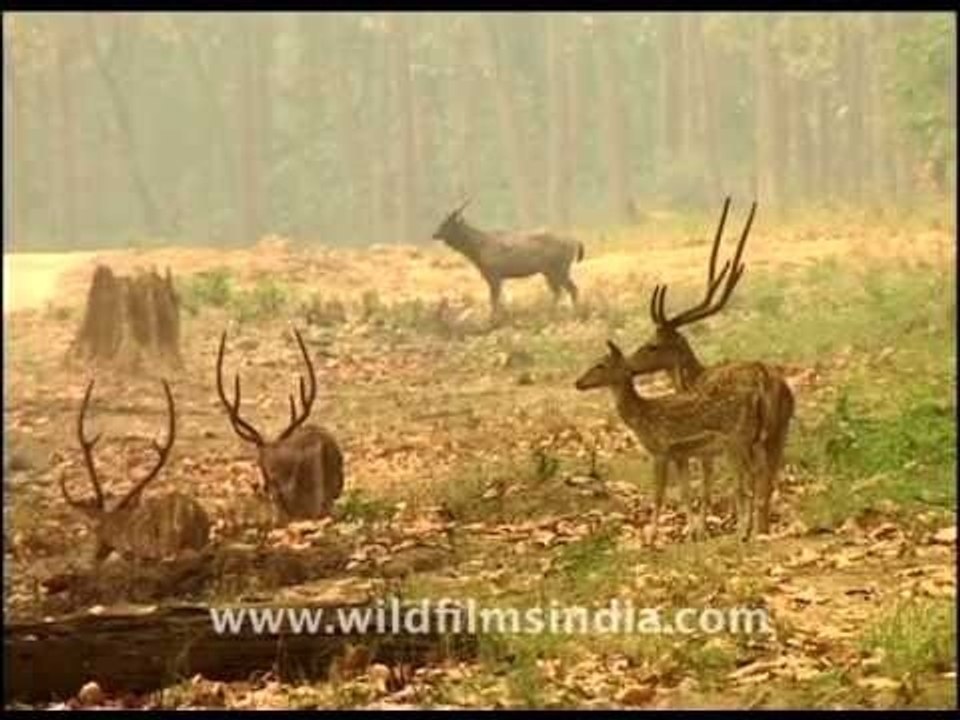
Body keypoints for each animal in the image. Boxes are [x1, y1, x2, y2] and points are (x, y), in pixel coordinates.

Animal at [432, 198, 585, 317]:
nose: (434, 234)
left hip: (559, 267)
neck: (477, 251)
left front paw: (493, 318)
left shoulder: (494, 273)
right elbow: (497, 299)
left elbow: (494, 299)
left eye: (446, 224)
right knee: (561, 291)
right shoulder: (495, 275)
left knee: (570, 289)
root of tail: (575, 242)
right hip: (550, 271)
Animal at [576, 340, 769, 542]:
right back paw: (750, 530)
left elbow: (658, 495)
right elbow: (686, 493)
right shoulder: (679, 454)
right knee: (755, 474)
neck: (642, 417)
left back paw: (742, 532)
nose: (578, 383)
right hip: (749, 440)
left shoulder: (660, 451)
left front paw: (651, 539)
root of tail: (756, 399)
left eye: (600, 365)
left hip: (735, 440)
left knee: (744, 482)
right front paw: (691, 535)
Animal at [627, 198, 795, 535]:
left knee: (750, 478)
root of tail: (767, 381)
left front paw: (700, 529)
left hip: (742, 437)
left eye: (652, 345)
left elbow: (705, 485)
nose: (630, 364)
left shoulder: (707, 446)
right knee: (768, 479)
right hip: (779, 431)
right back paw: (761, 529)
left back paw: (747, 530)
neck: (694, 377)